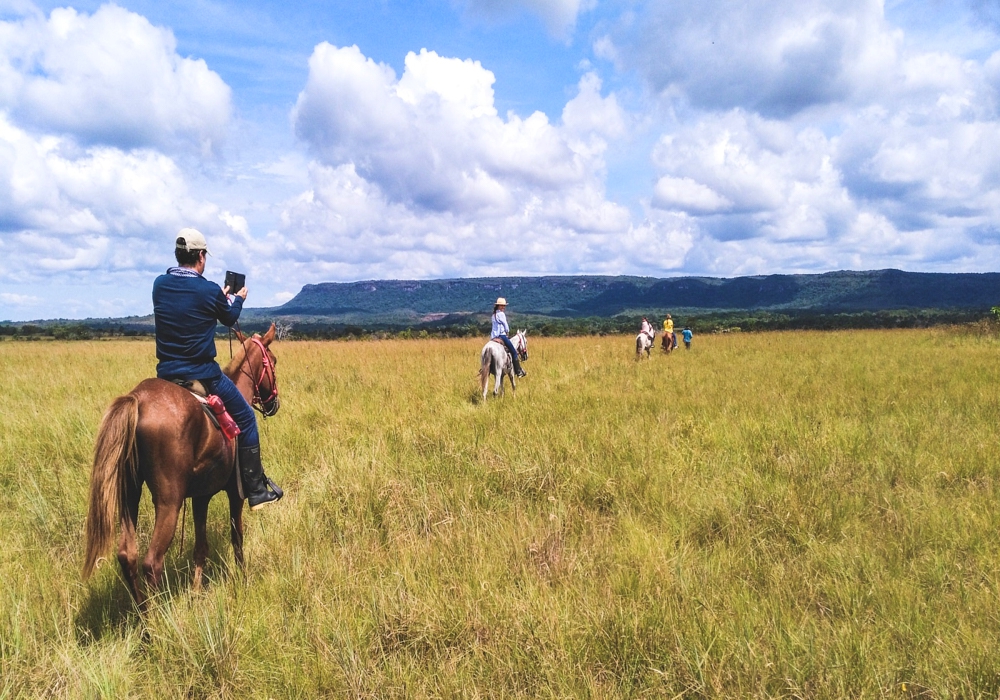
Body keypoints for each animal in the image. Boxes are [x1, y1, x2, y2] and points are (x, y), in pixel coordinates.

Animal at [80, 326, 278, 604]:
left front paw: (195, 592)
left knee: (127, 555)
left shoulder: (201, 496)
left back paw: (143, 615)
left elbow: (200, 547)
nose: (273, 404)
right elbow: (237, 537)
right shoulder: (235, 492)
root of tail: (137, 400)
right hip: (168, 501)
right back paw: (158, 613)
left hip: (129, 494)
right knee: (151, 562)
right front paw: (243, 579)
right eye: (274, 361)